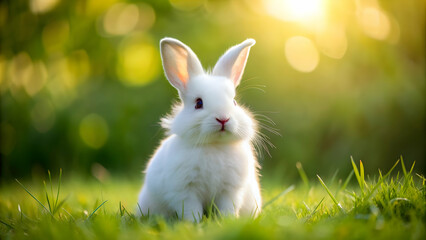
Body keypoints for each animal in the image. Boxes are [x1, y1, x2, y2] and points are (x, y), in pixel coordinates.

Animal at [138, 37, 262, 221]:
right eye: (198, 103)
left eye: (234, 102)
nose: (223, 118)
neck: (214, 145)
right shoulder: (185, 191)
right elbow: (191, 210)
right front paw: (193, 223)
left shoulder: (229, 190)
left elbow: (227, 208)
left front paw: (227, 221)